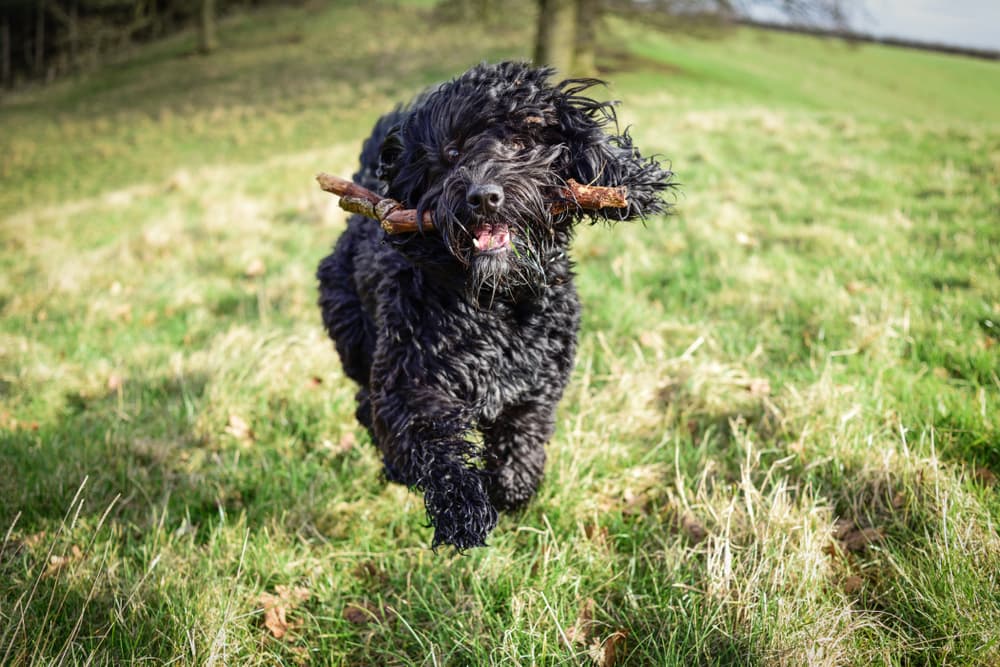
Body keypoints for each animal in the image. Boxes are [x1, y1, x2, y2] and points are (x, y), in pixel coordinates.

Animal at [316, 62, 668, 552]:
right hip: (355, 336)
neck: (495, 302)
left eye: (520, 143)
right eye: (451, 152)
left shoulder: (535, 384)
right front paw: (463, 506)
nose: (483, 196)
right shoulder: (411, 382)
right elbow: (430, 444)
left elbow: (523, 436)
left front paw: (511, 487)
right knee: (366, 403)